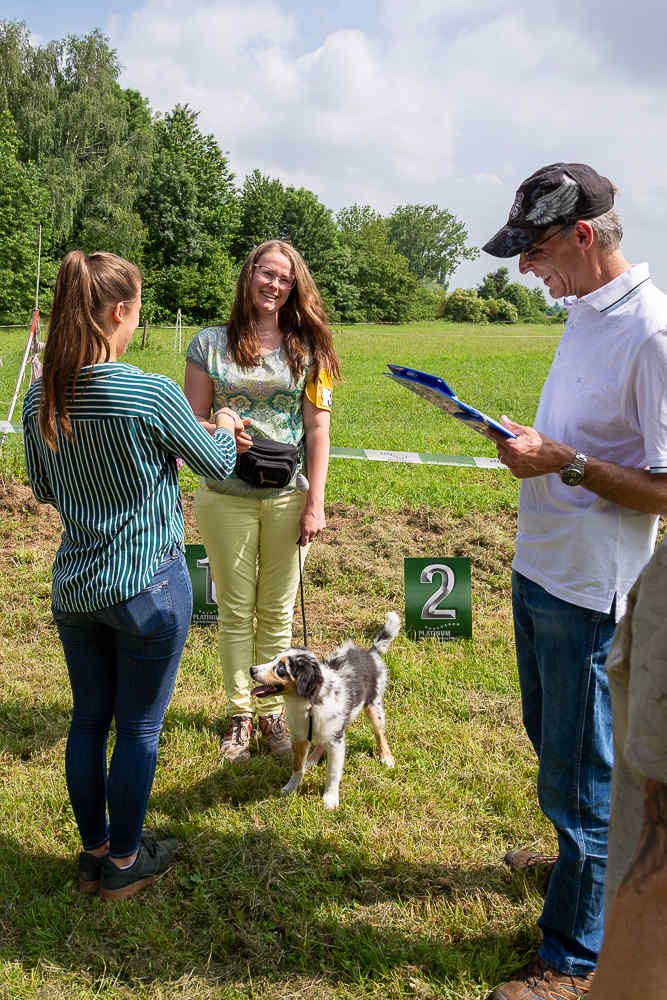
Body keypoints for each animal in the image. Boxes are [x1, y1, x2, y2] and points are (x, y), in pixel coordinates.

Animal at [248, 608, 400, 812]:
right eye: (273, 659)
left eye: (281, 668)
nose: (252, 669)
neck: (309, 705)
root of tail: (370, 652)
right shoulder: (300, 736)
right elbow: (297, 766)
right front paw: (290, 788)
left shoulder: (337, 741)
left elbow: (333, 773)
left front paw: (330, 799)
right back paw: (313, 758)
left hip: (374, 706)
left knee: (380, 733)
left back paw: (386, 758)